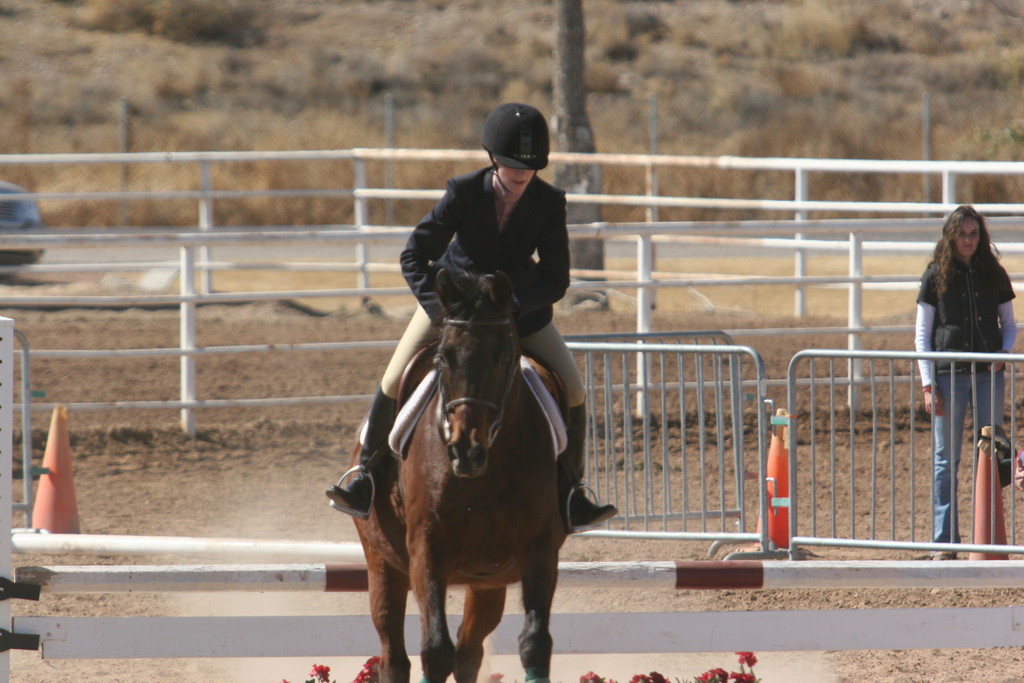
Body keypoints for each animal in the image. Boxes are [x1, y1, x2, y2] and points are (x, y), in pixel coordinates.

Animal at [352, 268, 569, 683]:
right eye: (443, 357)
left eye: (503, 355)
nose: (465, 450)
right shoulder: (426, 547)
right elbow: (436, 650)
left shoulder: (540, 548)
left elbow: (535, 642)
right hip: (382, 562)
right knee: (393, 655)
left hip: (487, 581)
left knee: (469, 652)